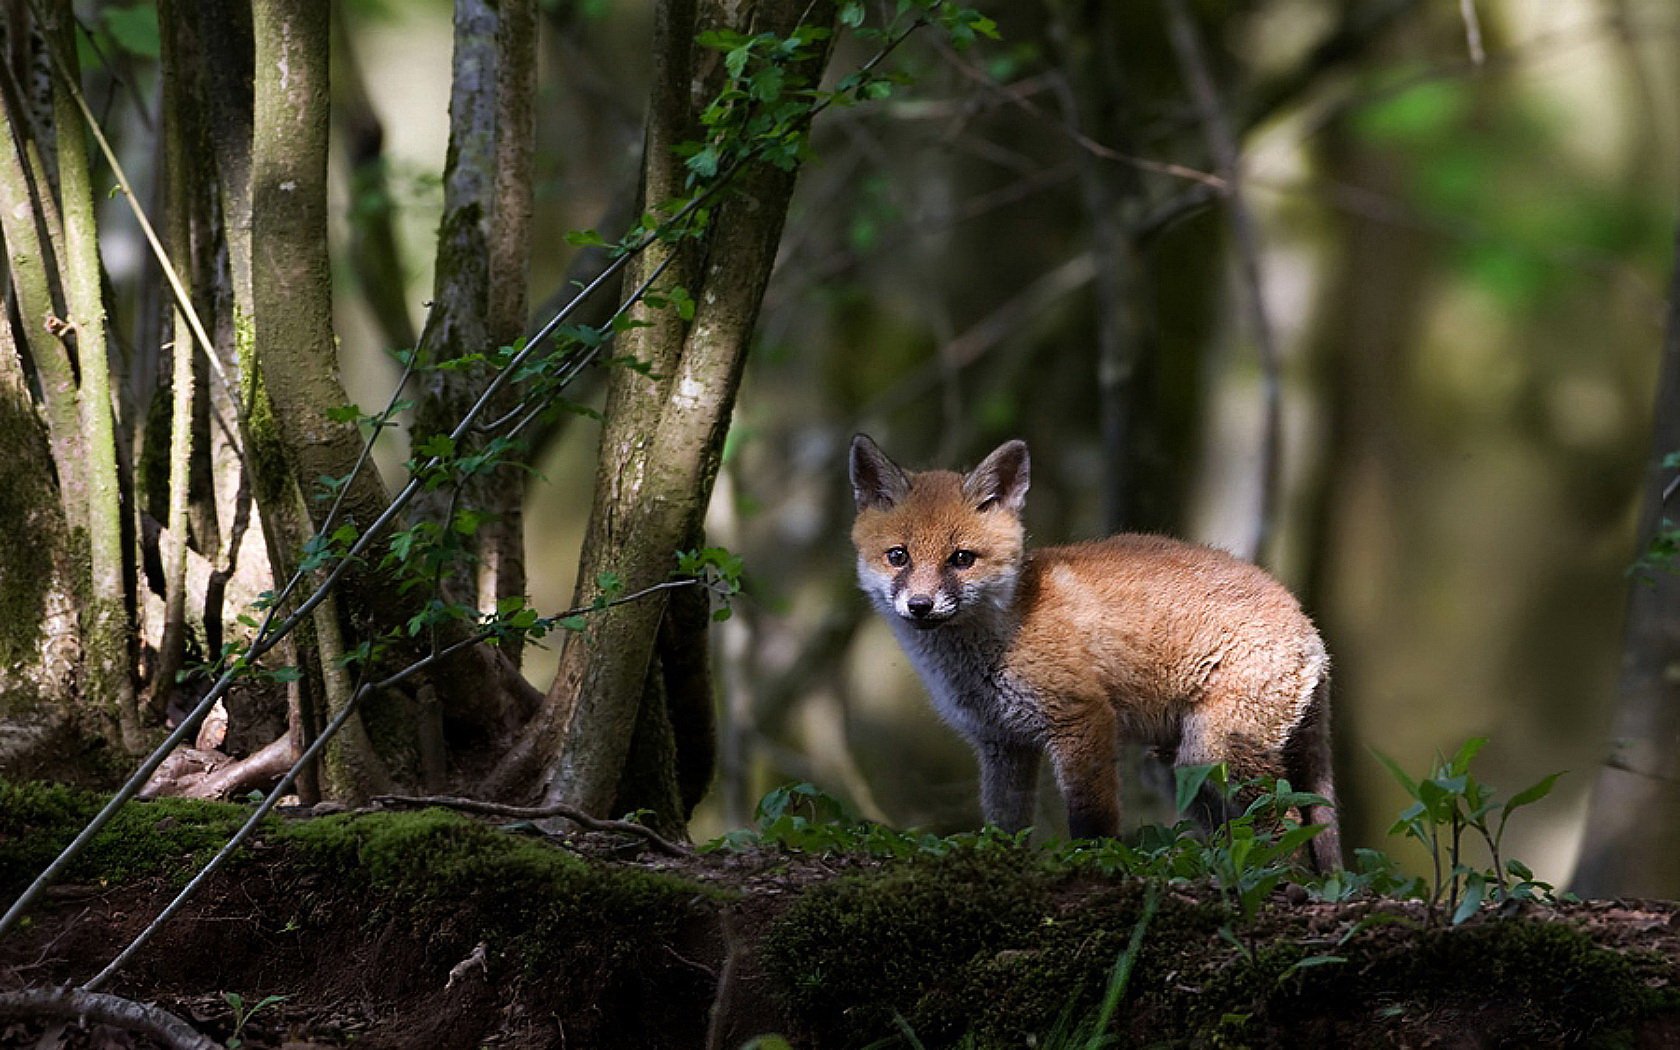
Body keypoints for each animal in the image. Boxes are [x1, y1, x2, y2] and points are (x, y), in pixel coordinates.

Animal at [849, 434, 1341, 871]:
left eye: (961, 559)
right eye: (898, 556)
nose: (920, 606)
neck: (1001, 639)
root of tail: (1307, 621)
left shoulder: (1082, 717)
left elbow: (1092, 820)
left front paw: (1095, 863)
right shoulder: (1002, 743)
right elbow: (1006, 825)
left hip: (1214, 751)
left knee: (1288, 818)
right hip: (1180, 769)